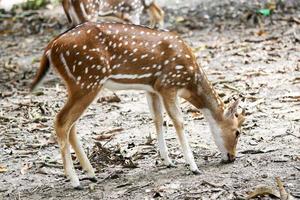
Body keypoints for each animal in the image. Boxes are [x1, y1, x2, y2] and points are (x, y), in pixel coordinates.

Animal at [30, 21, 246, 189]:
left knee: (71, 125)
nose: (232, 157)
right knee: (61, 121)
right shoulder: (167, 84)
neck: (190, 81)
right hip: (88, 79)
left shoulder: (152, 88)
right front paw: (193, 167)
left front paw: (168, 161)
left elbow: (158, 119)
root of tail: (51, 48)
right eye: (237, 132)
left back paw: (91, 174)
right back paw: (75, 181)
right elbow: (178, 121)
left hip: (78, 84)